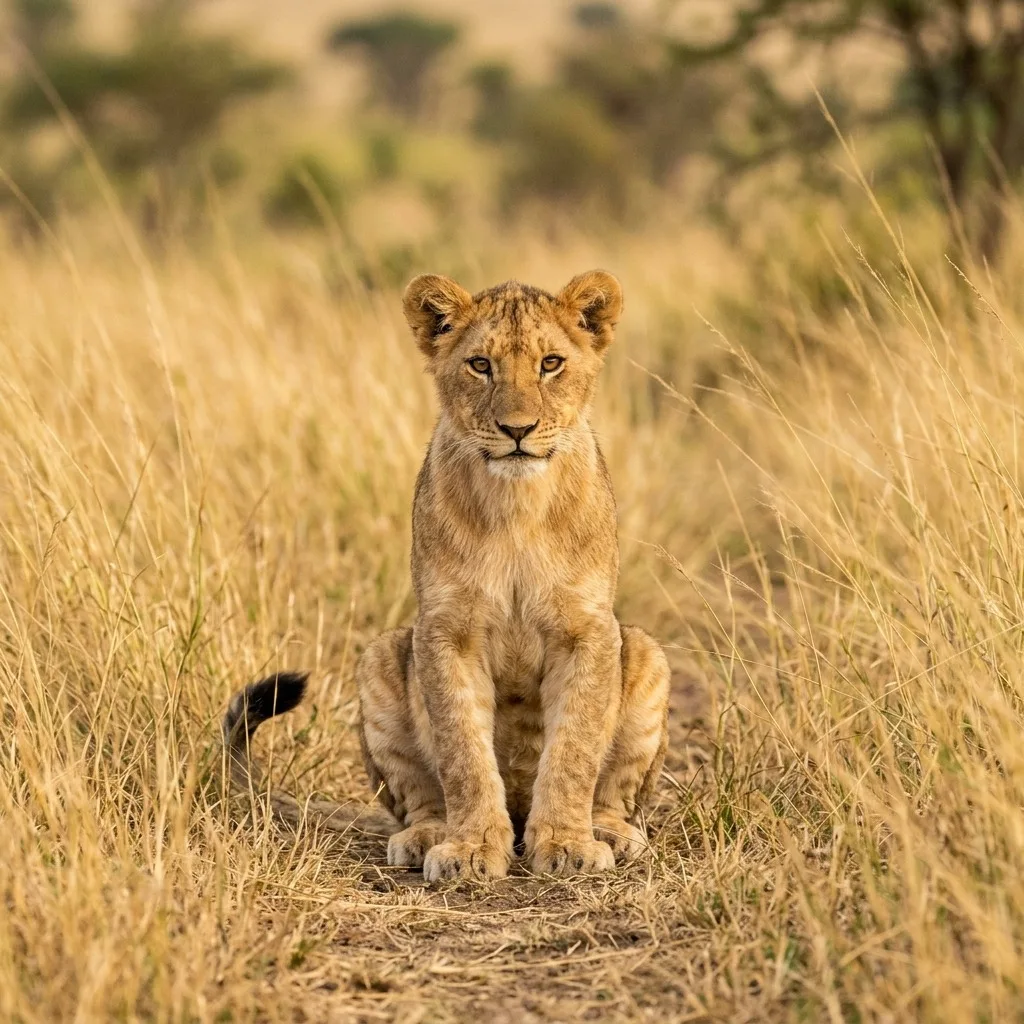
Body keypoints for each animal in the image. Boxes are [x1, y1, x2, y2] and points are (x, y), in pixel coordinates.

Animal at [223, 270, 670, 881]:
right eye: (480, 365)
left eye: (551, 363)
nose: (517, 430)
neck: (516, 506)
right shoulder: (445, 630)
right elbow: (463, 751)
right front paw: (471, 848)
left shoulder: (587, 630)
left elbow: (574, 749)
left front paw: (566, 845)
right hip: (383, 656)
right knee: (419, 796)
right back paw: (426, 836)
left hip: (645, 653)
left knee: (614, 793)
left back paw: (609, 832)